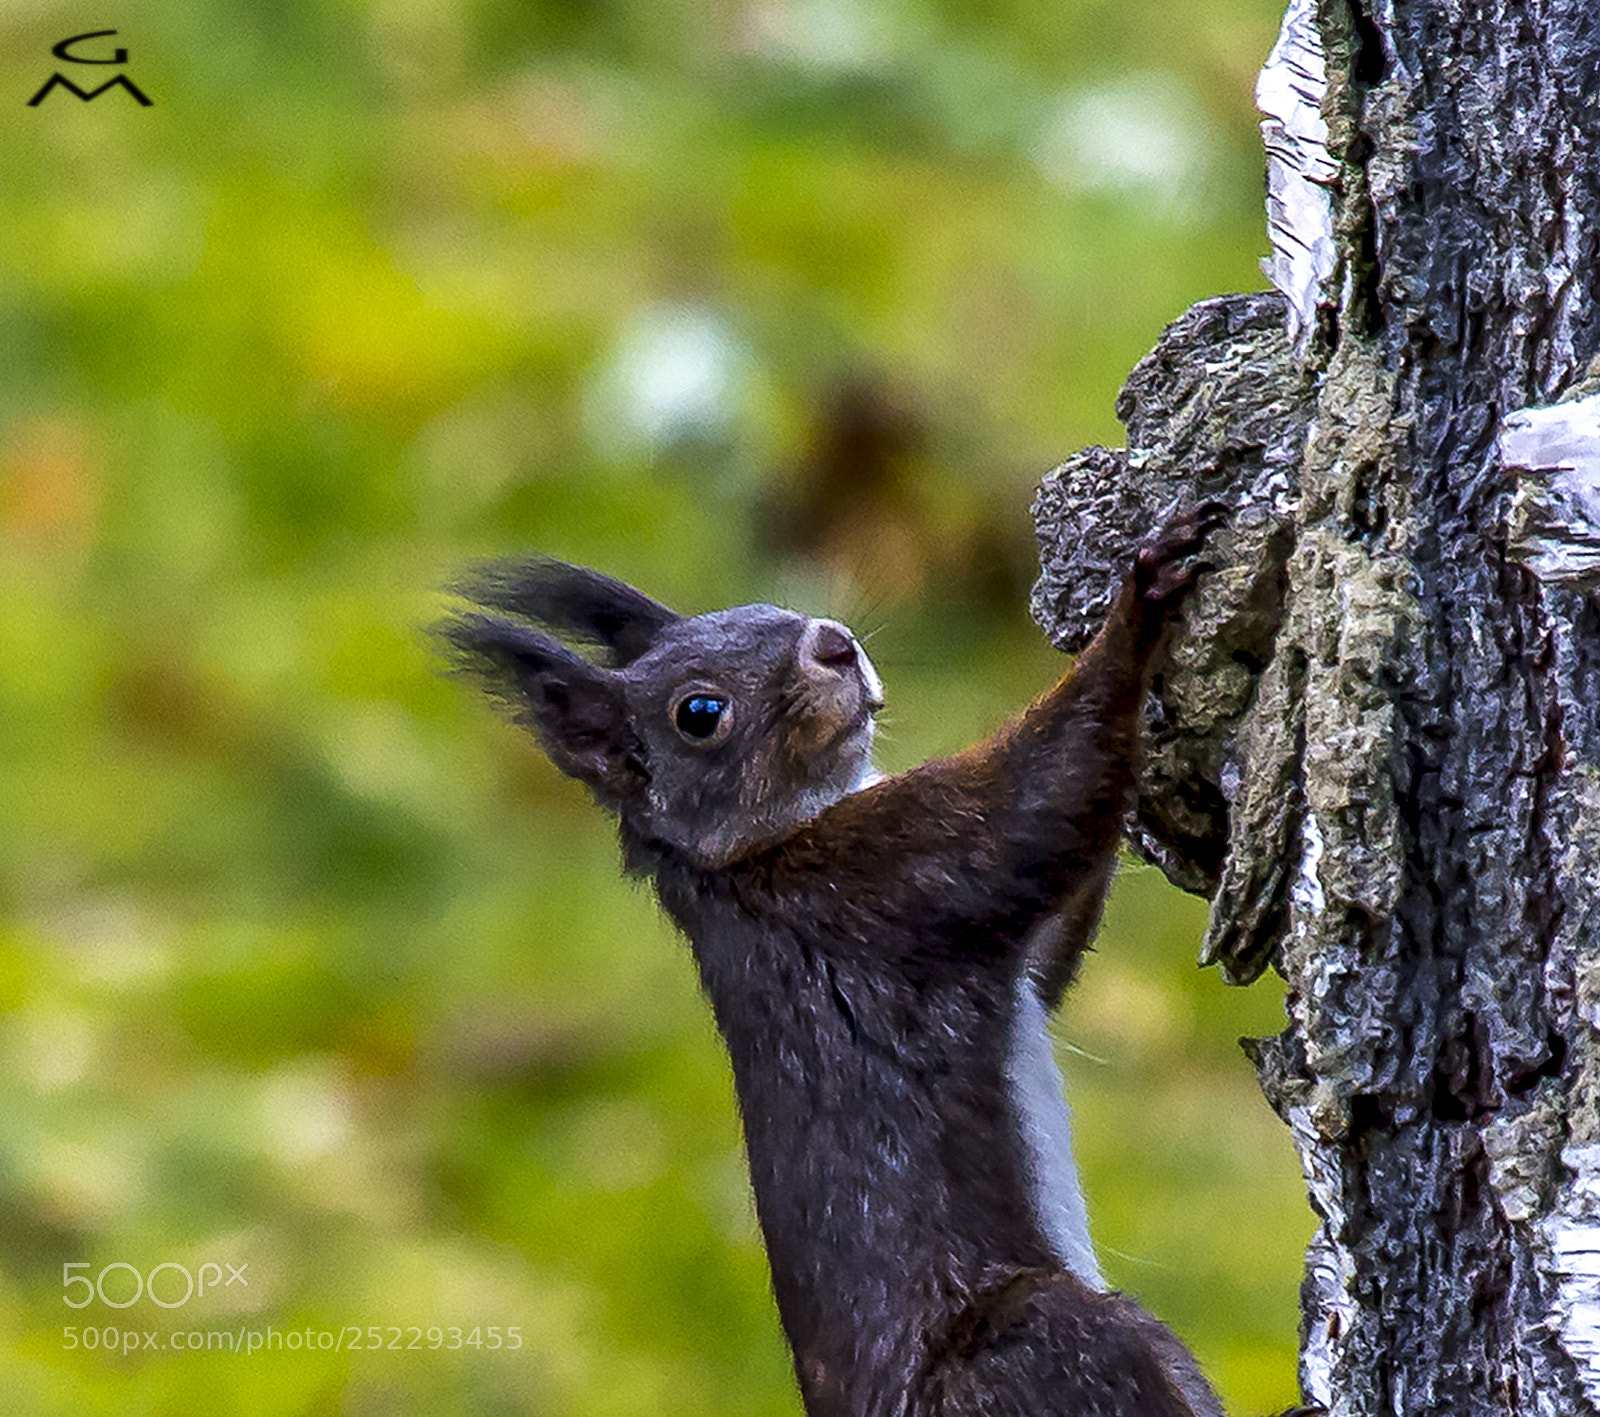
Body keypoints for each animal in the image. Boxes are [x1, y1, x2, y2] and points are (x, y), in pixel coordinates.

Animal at [439, 507, 1228, 1417]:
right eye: (698, 711)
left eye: (762, 609)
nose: (835, 642)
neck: (740, 861)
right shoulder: (878, 883)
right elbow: (1044, 802)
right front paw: (1139, 605)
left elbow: (1050, 948)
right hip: (1037, 1347)